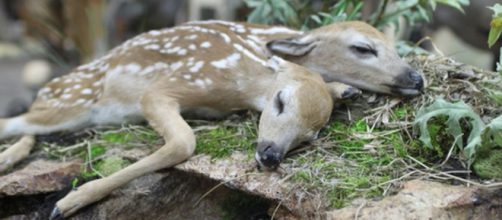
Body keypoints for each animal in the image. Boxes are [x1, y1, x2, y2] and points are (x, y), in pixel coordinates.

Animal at [0, 20, 424, 218]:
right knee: (16, 122)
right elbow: (184, 142)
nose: (416, 78)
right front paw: (68, 202)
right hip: (72, 104)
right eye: (363, 48)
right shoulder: (168, 86)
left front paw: (345, 92)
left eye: (311, 136)